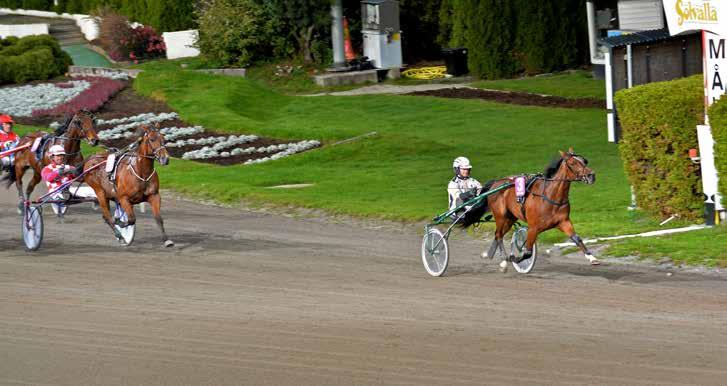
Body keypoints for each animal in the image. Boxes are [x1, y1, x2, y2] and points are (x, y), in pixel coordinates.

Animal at [464, 149, 600, 272]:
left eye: (584, 161)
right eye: (572, 163)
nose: (591, 175)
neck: (550, 196)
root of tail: (496, 183)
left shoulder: (564, 222)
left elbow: (577, 239)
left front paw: (592, 258)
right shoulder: (533, 228)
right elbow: (527, 252)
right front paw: (515, 258)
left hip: (510, 218)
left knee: (499, 234)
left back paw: (490, 255)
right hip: (500, 216)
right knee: (498, 235)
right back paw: (503, 261)